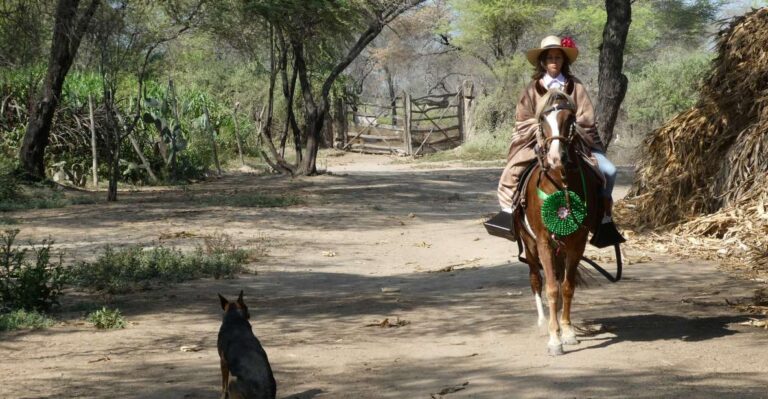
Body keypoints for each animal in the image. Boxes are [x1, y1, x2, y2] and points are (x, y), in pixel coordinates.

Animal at [512, 89, 604, 358]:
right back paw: (543, 322)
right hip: (530, 246)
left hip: (560, 248)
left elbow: (567, 286)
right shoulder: (543, 242)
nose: (555, 157)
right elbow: (552, 288)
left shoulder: (576, 243)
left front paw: (568, 331)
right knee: (535, 278)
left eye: (570, 118)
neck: (560, 184)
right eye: (543, 118)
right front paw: (554, 339)